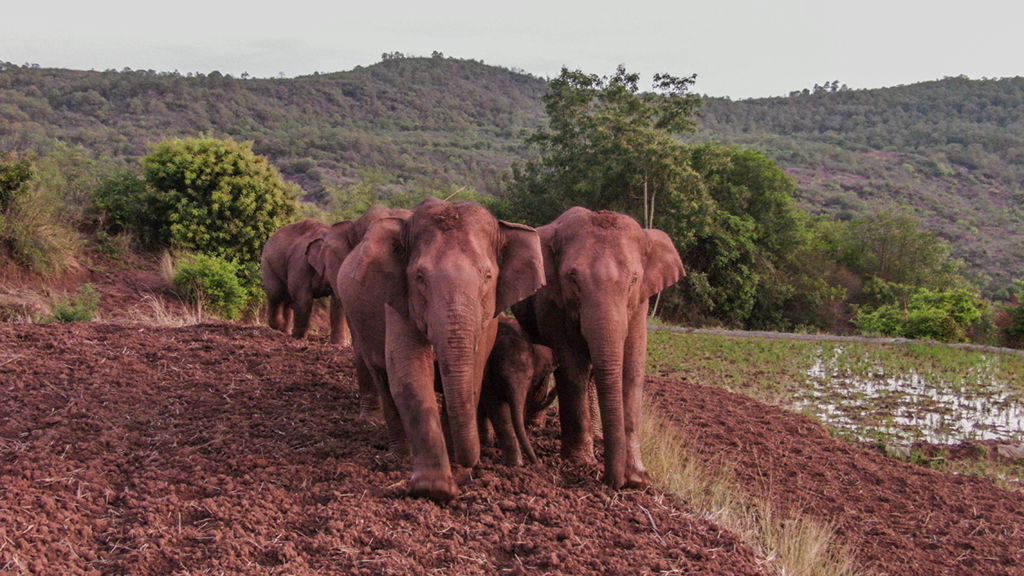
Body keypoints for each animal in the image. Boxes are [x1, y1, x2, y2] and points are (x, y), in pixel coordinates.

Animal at [335, 196, 544, 498]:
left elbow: (474, 375)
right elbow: (409, 373)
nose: (470, 464)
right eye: (420, 277)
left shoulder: (489, 316)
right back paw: (399, 456)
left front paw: (455, 470)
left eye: (487, 277)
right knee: (382, 375)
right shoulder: (399, 299)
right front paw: (435, 489)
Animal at [477, 313, 557, 467]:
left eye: (530, 377)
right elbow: (497, 407)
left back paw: (486, 443)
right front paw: (514, 465)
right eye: (501, 376)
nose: (537, 463)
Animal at [512, 206, 688, 487]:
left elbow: (632, 369)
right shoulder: (552, 300)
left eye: (634, 280)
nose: (614, 482)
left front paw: (638, 478)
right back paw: (535, 425)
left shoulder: (640, 304)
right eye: (572, 278)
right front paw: (580, 463)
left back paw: (597, 436)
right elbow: (572, 369)